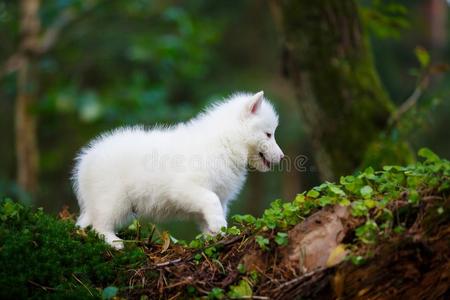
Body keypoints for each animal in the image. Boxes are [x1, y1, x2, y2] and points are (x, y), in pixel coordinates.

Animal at [73, 91, 284, 248]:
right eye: (268, 134)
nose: (282, 157)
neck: (226, 143)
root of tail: (84, 162)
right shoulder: (186, 188)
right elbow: (211, 200)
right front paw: (219, 226)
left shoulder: (216, 197)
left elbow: (211, 213)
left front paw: (215, 235)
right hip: (113, 199)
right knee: (99, 225)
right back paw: (114, 241)